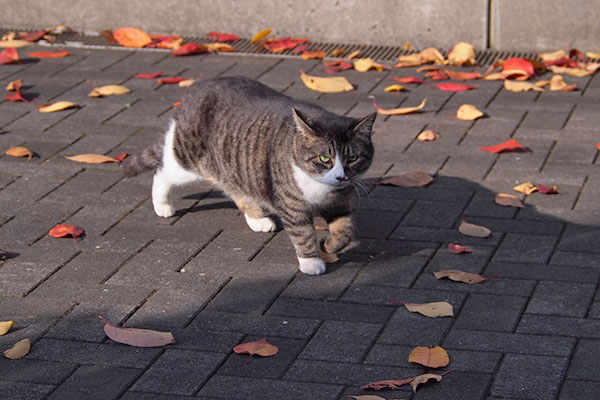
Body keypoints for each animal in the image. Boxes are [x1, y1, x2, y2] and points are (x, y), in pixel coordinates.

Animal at [122, 76, 376, 274]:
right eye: (324, 159)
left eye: (352, 158)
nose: (341, 177)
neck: (320, 187)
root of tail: (197, 86)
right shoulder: (291, 205)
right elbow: (302, 233)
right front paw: (311, 261)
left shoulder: (340, 202)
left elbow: (345, 231)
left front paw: (330, 245)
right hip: (188, 159)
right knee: (163, 171)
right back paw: (162, 205)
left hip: (234, 166)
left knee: (236, 189)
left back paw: (257, 219)